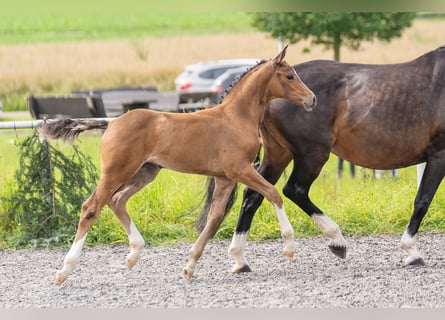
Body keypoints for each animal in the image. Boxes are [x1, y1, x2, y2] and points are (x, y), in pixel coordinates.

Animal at [39, 46, 316, 284]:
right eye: (289, 76)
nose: (311, 99)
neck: (235, 118)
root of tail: (112, 122)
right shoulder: (239, 169)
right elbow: (272, 193)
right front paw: (289, 247)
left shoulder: (225, 178)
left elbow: (214, 218)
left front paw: (190, 266)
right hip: (116, 172)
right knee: (91, 207)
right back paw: (65, 270)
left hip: (145, 172)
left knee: (116, 201)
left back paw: (134, 254)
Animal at [197, 45, 444, 272]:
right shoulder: (438, 155)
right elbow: (422, 200)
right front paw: (412, 253)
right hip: (313, 154)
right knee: (293, 189)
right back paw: (337, 241)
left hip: (279, 154)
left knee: (254, 195)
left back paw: (240, 259)